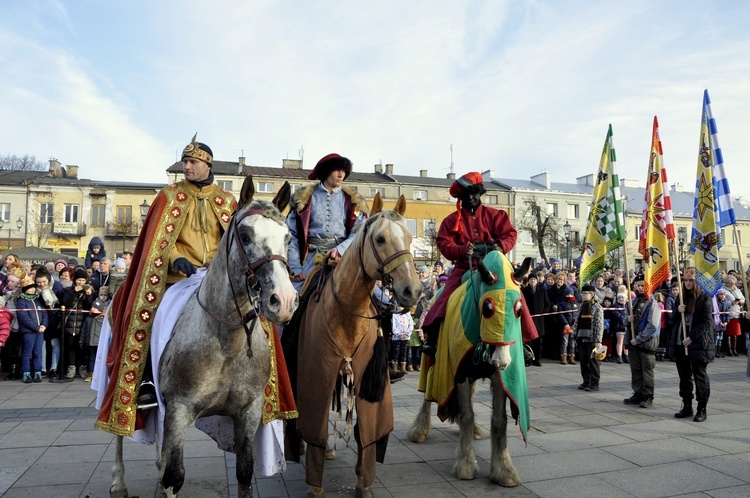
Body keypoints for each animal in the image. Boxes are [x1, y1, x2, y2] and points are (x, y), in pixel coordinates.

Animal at [110, 177, 298, 496]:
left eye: (287, 238)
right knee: (120, 436)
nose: (283, 301)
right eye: (245, 236)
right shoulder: (179, 410)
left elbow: (245, 473)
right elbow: (175, 477)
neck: (227, 343)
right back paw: (118, 482)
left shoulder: (248, 411)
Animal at [296, 195, 424, 498]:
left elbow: (364, 430)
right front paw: (315, 484)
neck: (347, 311)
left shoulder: (366, 376)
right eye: (379, 238)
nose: (412, 291)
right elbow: (314, 419)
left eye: (409, 237)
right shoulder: (318, 372)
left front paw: (363, 481)